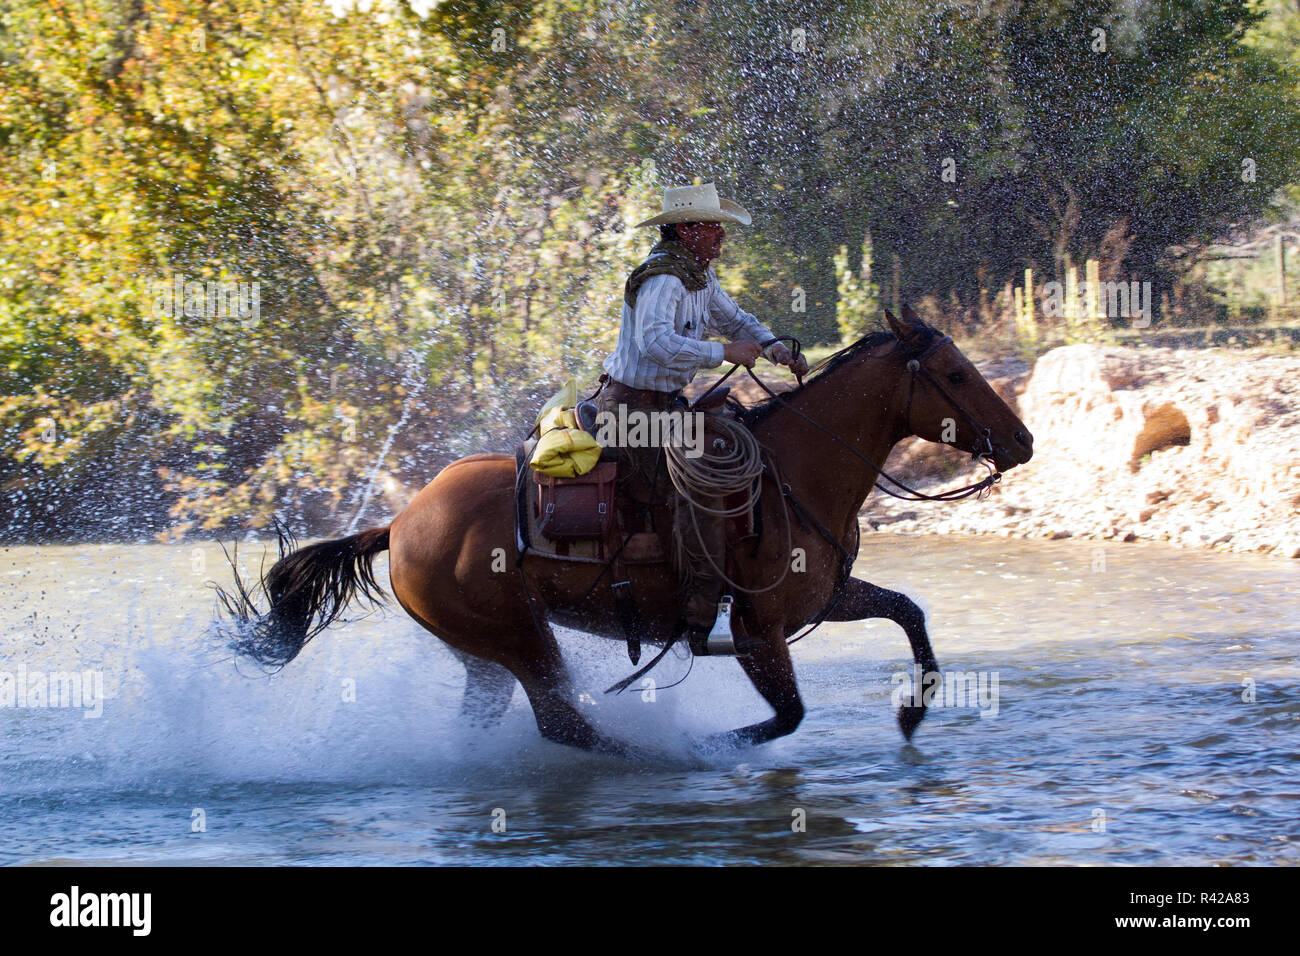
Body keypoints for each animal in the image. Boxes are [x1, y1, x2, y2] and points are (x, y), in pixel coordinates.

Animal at [213, 306, 1029, 754]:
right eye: (956, 375)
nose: (1021, 442)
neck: (796, 474)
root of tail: (399, 522)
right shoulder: (758, 630)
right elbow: (788, 715)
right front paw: (706, 747)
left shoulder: (823, 599)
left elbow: (909, 614)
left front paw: (912, 714)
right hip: (520, 640)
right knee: (564, 723)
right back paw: (649, 758)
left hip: (484, 655)